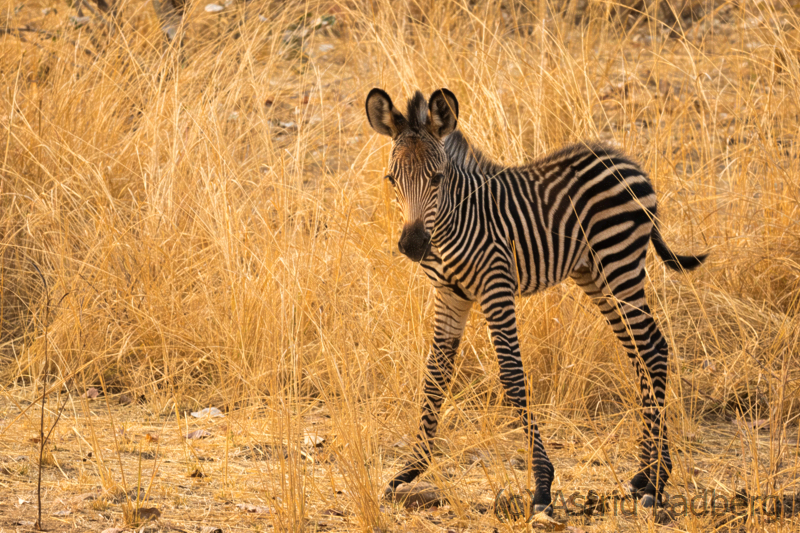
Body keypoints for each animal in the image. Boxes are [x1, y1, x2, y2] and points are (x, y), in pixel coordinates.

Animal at [364, 86, 708, 512]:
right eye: (391, 178)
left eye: (438, 178)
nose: (412, 245)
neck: (452, 224)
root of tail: (630, 163)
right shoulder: (449, 297)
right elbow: (435, 377)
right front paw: (410, 470)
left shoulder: (496, 287)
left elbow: (512, 377)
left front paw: (543, 484)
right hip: (596, 276)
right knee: (639, 354)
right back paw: (643, 475)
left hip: (619, 265)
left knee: (653, 348)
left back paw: (657, 483)